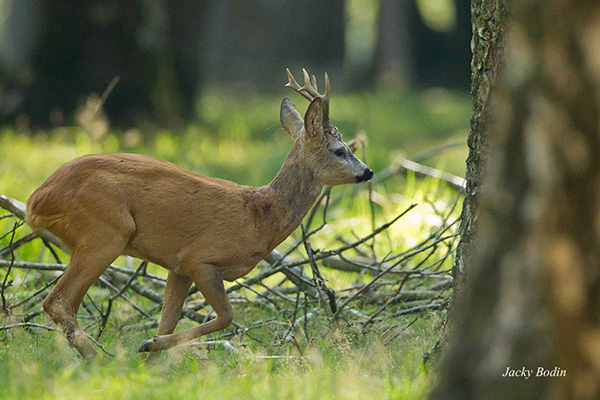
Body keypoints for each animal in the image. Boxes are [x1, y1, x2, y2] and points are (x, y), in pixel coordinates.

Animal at [25, 69, 372, 360]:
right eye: (339, 150)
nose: (367, 172)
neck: (260, 217)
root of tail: (35, 201)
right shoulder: (200, 257)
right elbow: (227, 316)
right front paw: (148, 345)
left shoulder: (177, 266)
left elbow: (167, 320)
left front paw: (151, 354)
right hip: (106, 232)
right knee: (57, 301)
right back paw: (99, 360)